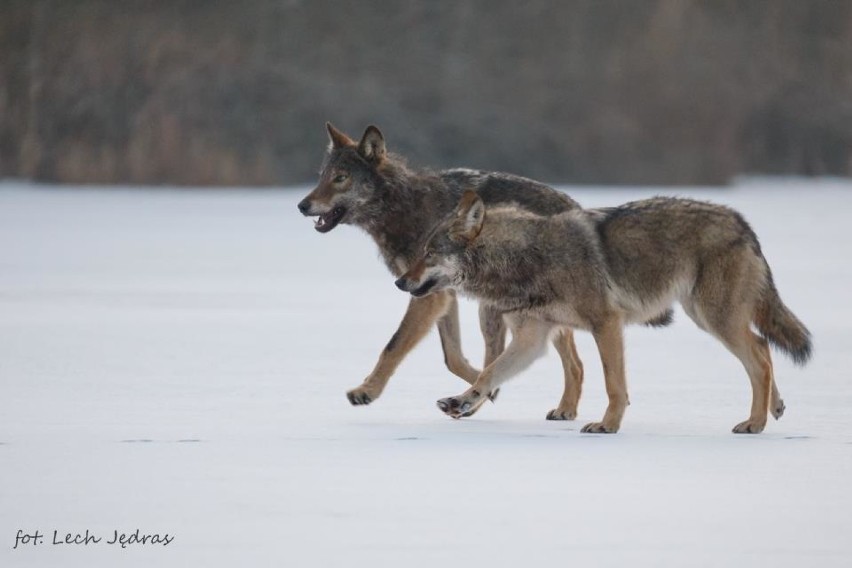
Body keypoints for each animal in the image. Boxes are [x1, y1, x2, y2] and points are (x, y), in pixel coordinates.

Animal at [298, 124, 584, 418]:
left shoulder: (428, 296)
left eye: (341, 178)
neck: (402, 208)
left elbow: (393, 346)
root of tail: (575, 205)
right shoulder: (440, 294)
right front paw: (483, 391)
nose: (302, 205)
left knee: (575, 365)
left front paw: (367, 390)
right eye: (322, 177)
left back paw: (564, 410)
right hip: (497, 311)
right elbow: (453, 358)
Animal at [398, 193, 812, 432]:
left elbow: (615, 385)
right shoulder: (533, 339)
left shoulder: (605, 323)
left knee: (759, 356)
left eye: (430, 253)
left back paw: (754, 423)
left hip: (715, 319)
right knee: (763, 350)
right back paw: (770, 410)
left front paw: (607, 425)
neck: (527, 257)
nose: (400, 282)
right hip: (706, 316)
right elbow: (489, 372)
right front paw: (461, 402)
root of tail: (741, 220)